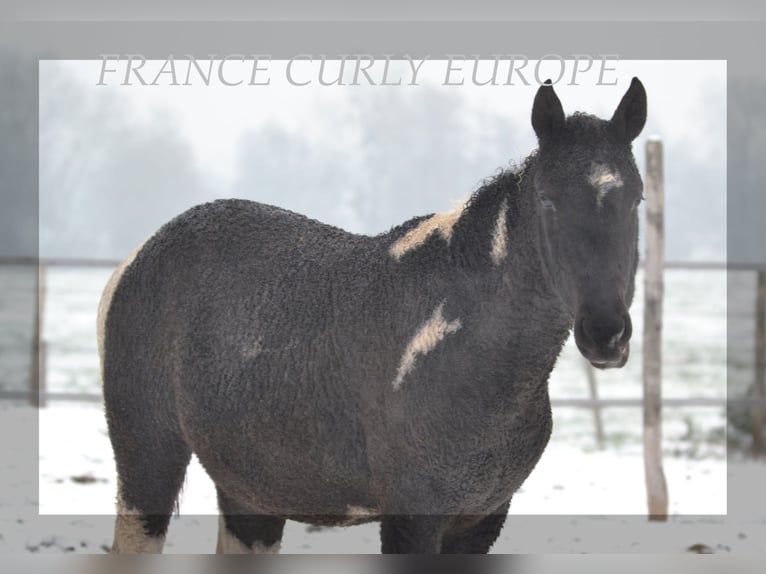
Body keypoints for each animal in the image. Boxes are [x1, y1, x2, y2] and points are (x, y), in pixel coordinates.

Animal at [97, 79, 648, 556]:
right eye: (548, 200)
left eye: (636, 199)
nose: (606, 334)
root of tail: (140, 256)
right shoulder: (412, 520)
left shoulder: (482, 520)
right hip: (148, 463)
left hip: (251, 491)